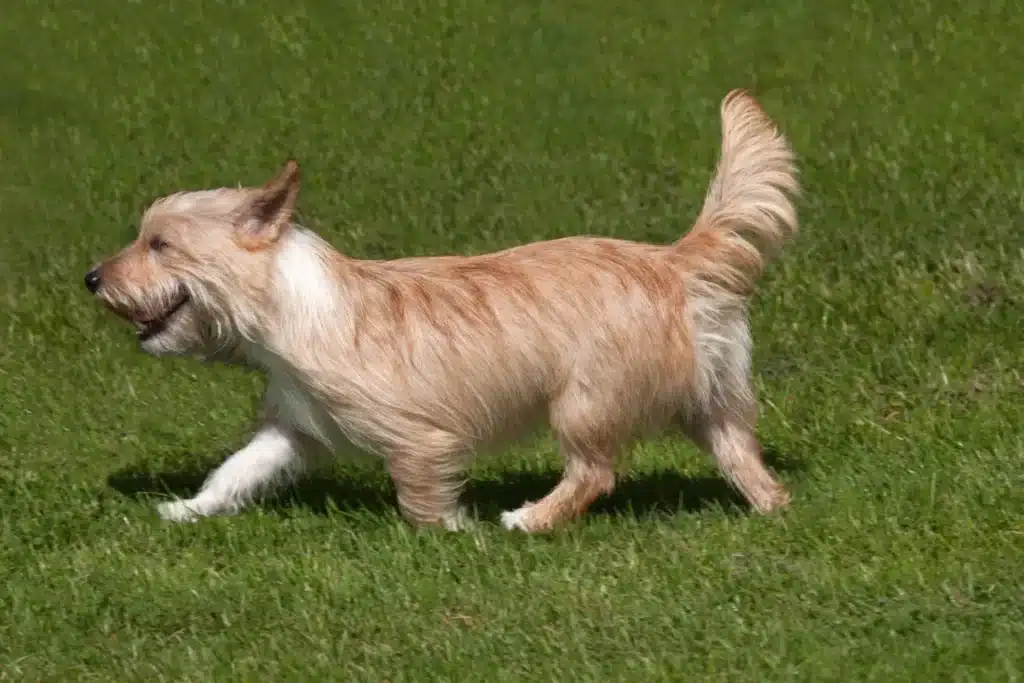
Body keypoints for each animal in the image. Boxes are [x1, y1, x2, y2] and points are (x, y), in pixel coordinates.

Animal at [86, 88, 798, 532]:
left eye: (159, 245)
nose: (92, 278)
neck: (293, 308)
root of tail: (675, 262)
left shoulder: (421, 439)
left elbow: (421, 500)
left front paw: (457, 531)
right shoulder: (291, 429)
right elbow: (235, 473)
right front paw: (185, 509)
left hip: (585, 404)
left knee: (594, 473)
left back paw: (529, 519)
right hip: (711, 402)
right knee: (742, 456)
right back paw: (772, 508)